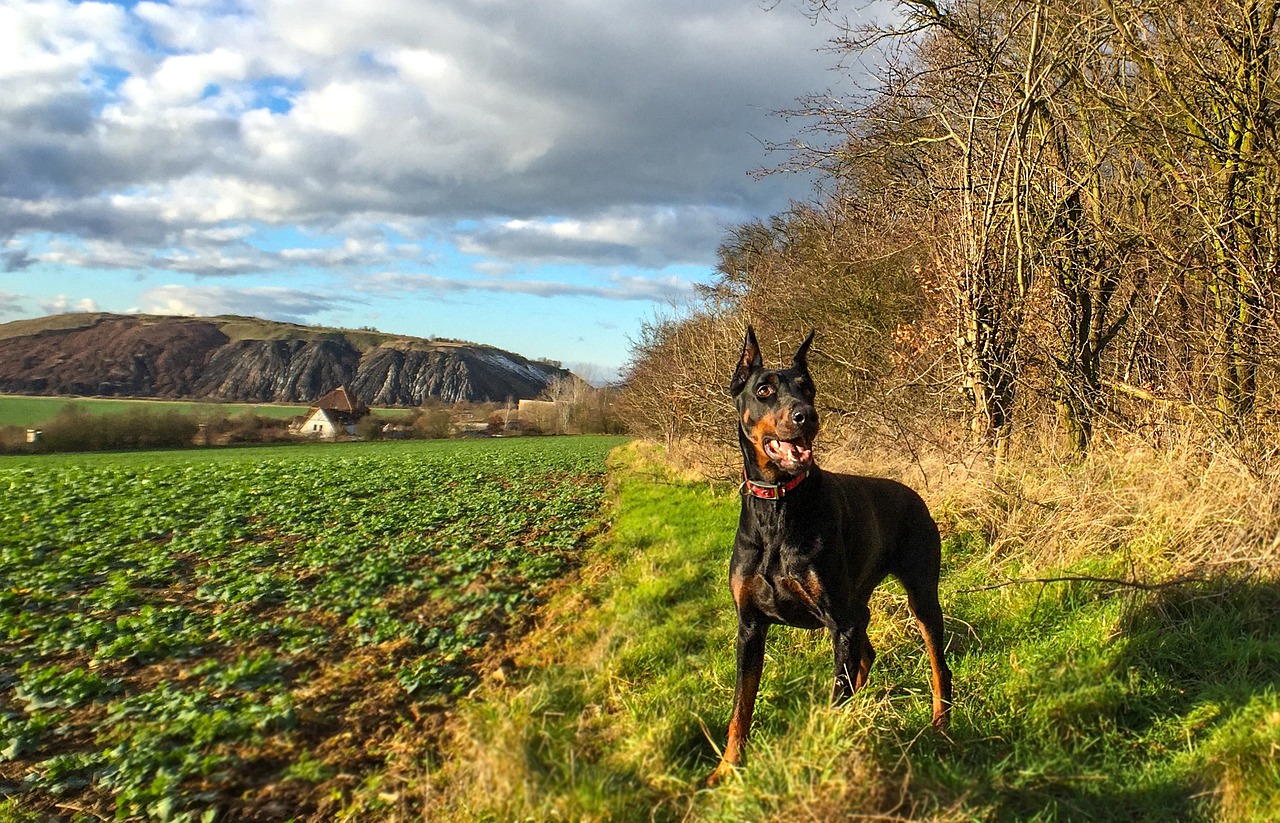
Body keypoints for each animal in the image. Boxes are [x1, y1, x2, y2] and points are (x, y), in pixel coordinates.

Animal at [706, 326, 957, 783]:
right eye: (764, 389)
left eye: (808, 388)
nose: (806, 415)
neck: (778, 505)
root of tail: (915, 495)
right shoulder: (749, 626)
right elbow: (740, 709)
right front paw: (727, 769)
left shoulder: (839, 622)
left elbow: (836, 693)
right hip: (857, 605)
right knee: (866, 652)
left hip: (920, 595)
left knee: (936, 664)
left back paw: (941, 727)